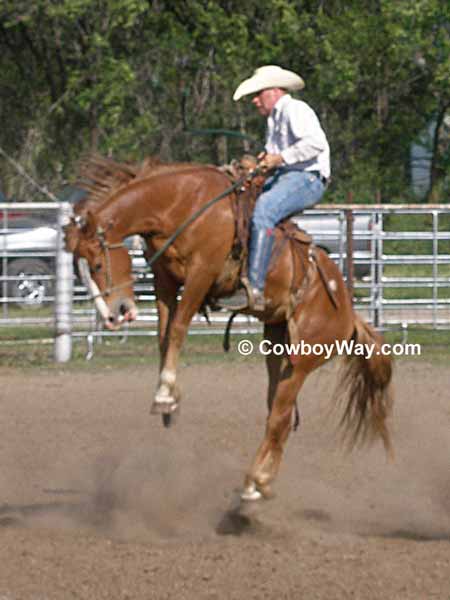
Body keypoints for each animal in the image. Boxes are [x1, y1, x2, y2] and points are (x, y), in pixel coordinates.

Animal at [65, 159, 392, 502]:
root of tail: (348, 313)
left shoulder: (202, 272)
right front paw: (170, 400)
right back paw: (260, 485)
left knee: (279, 418)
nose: (114, 315)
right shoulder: (165, 278)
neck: (183, 202)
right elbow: (163, 337)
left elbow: (178, 328)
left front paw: (165, 395)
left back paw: (253, 484)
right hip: (277, 345)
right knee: (279, 415)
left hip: (303, 360)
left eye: (97, 265)